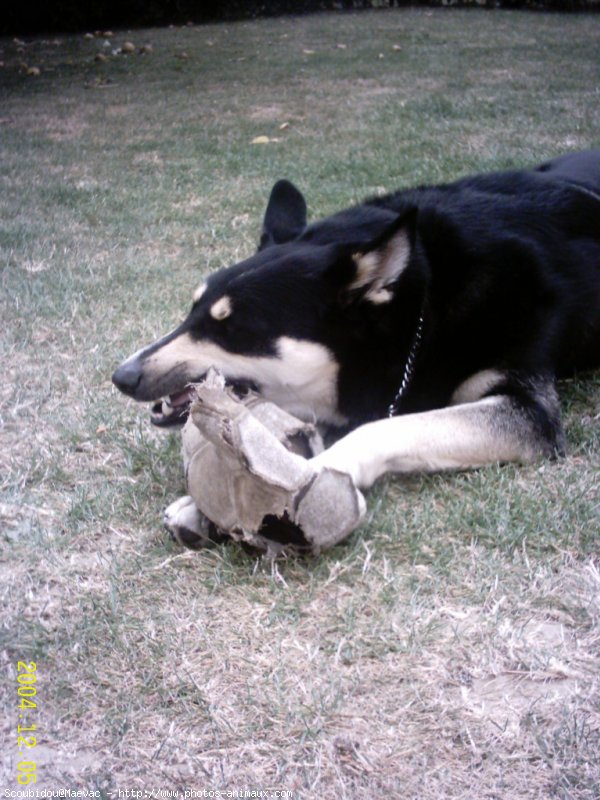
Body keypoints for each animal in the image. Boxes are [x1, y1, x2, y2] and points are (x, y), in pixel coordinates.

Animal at [112, 150, 600, 536]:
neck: (422, 304)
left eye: (232, 329)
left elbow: (382, 428)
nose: (122, 377)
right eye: (191, 310)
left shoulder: (530, 412)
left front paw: (295, 485)